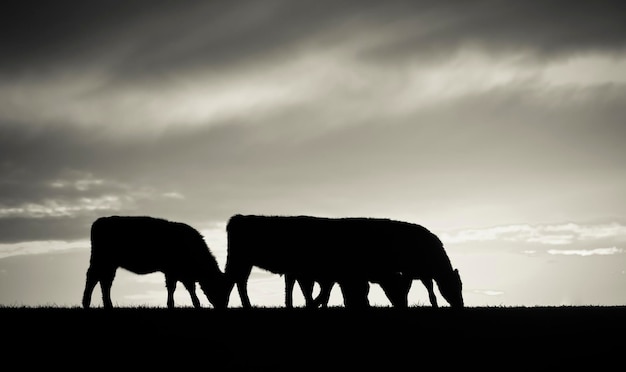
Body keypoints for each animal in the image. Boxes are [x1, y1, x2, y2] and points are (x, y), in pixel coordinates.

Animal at [81, 215, 225, 308]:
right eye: (217, 286)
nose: (222, 306)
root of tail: (100, 221)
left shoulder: (179, 274)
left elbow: (186, 289)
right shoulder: (173, 273)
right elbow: (177, 288)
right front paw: (175, 305)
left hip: (109, 264)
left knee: (105, 281)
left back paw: (108, 305)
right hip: (101, 260)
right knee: (93, 277)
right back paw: (86, 303)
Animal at [222, 214, 460, 310]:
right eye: (455, 286)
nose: (460, 305)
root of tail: (238, 218)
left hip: (246, 262)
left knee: (241, 282)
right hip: (239, 260)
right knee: (234, 281)